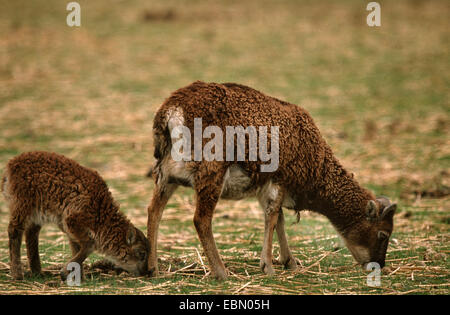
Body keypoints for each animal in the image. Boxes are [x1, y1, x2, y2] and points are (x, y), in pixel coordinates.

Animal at [1, 152, 149, 282]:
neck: (101, 213)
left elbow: (76, 247)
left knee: (31, 234)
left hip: (37, 215)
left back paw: (38, 272)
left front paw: (79, 277)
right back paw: (17, 275)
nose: (146, 272)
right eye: (141, 253)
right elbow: (89, 245)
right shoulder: (72, 221)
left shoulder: (68, 227)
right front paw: (64, 273)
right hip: (23, 205)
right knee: (14, 230)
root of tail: (10, 166)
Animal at [146, 81, 396, 282]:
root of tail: (171, 111)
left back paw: (153, 268)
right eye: (383, 234)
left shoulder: (265, 187)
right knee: (201, 220)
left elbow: (279, 220)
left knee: (154, 210)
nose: (379, 266)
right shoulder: (279, 180)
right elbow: (273, 218)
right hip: (211, 171)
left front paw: (289, 262)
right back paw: (221, 272)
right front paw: (269, 267)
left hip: (166, 174)